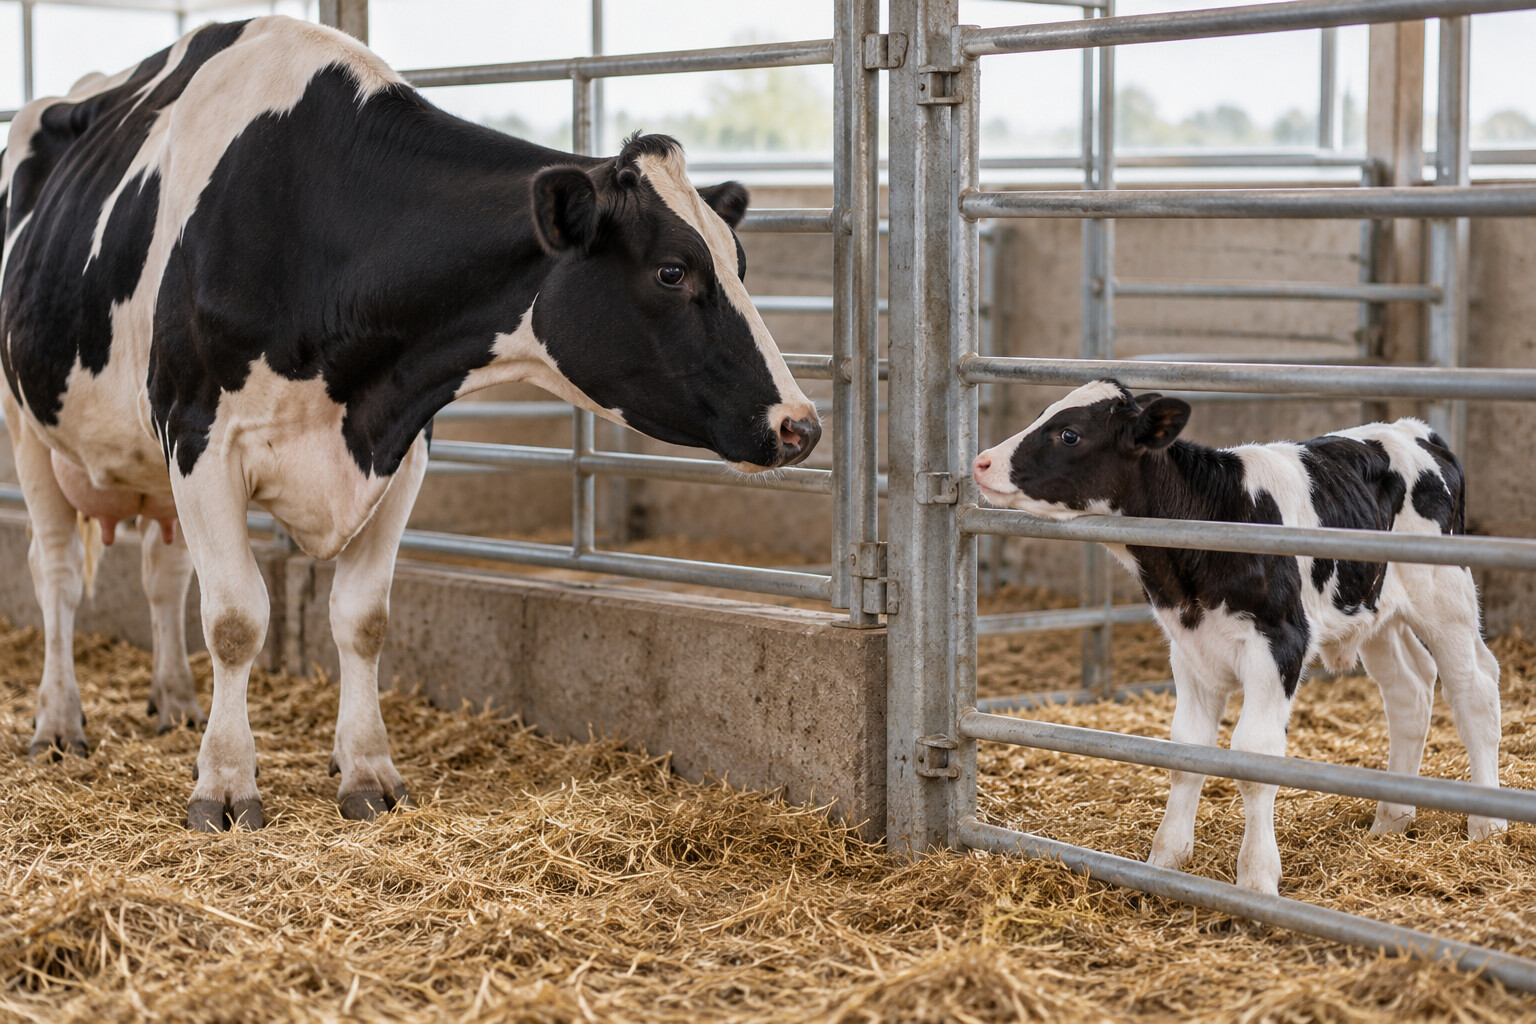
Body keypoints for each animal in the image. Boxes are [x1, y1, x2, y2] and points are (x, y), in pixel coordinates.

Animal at [0, 17, 820, 831]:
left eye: (741, 261)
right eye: (673, 271)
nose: (802, 426)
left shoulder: (400, 443)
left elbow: (363, 618)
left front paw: (366, 770)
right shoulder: (201, 437)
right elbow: (235, 619)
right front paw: (225, 786)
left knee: (161, 575)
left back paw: (174, 701)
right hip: (27, 428)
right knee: (56, 573)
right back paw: (58, 723)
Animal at [972, 380, 1503, 894]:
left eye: (1070, 434)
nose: (982, 461)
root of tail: (1415, 431)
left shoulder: (1280, 644)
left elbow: (1254, 757)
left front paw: (1257, 877)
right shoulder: (1188, 649)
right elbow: (1186, 750)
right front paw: (1166, 861)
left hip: (1446, 595)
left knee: (1474, 689)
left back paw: (1487, 824)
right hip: (1375, 611)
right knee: (1409, 690)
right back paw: (1391, 819)